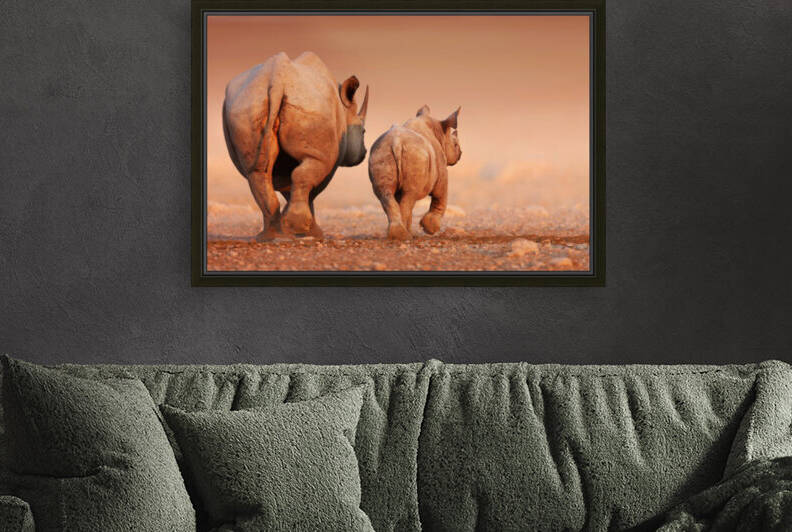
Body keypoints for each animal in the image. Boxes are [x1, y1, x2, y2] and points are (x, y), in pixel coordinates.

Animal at [222, 52, 369, 240]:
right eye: (363, 131)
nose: (363, 153)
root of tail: (276, 80)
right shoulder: (329, 156)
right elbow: (312, 189)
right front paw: (310, 232)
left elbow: (288, 186)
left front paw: (291, 227)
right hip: (310, 106)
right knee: (307, 170)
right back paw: (295, 229)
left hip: (246, 105)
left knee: (256, 173)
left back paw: (269, 236)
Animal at [368, 105, 461, 240]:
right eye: (456, 144)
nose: (460, 154)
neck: (439, 133)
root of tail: (396, 142)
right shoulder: (441, 172)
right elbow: (440, 197)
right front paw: (429, 229)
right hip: (415, 155)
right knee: (409, 196)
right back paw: (406, 236)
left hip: (380, 153)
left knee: (386, 194)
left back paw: (399, 235)